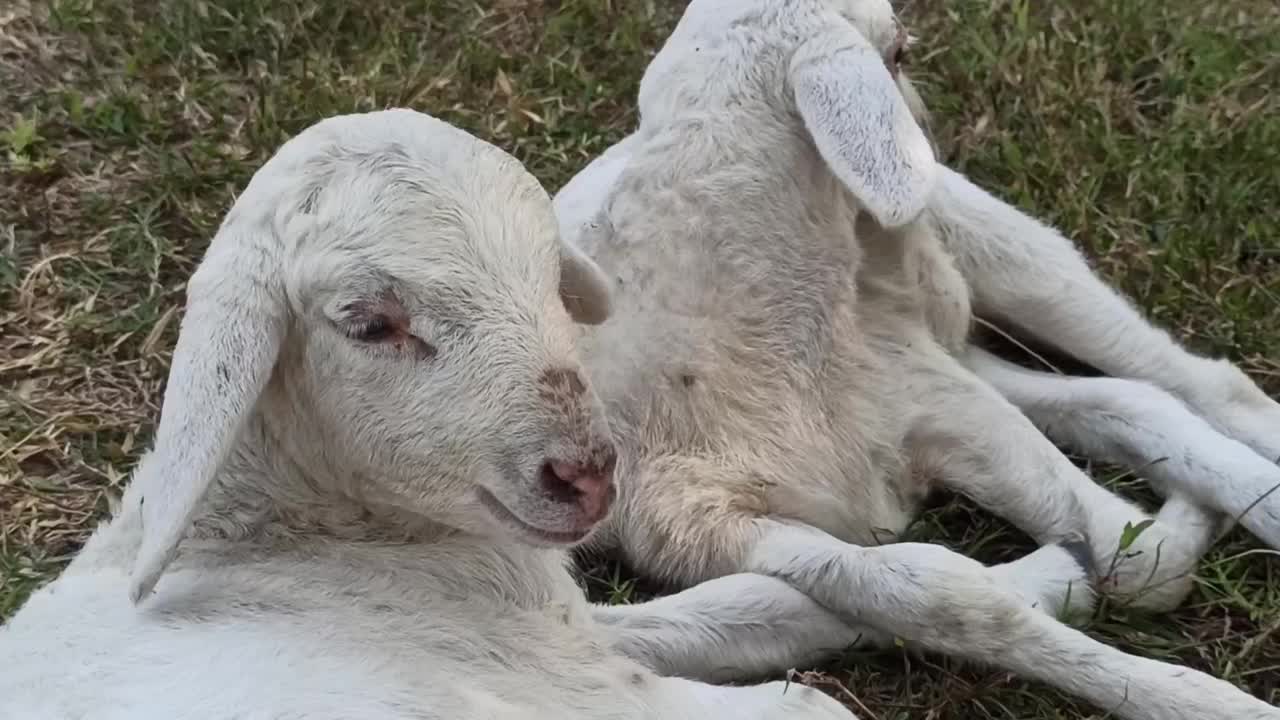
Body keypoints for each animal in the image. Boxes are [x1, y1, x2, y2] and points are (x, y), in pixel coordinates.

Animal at [555, 1, 1280, 712]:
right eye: (899, 49)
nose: (928, 134)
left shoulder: (938, 403)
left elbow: (1140, 557)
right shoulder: (692, 523)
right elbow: (929, 589)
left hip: (984, 250)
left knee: (1191, 377)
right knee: (1123, 399)